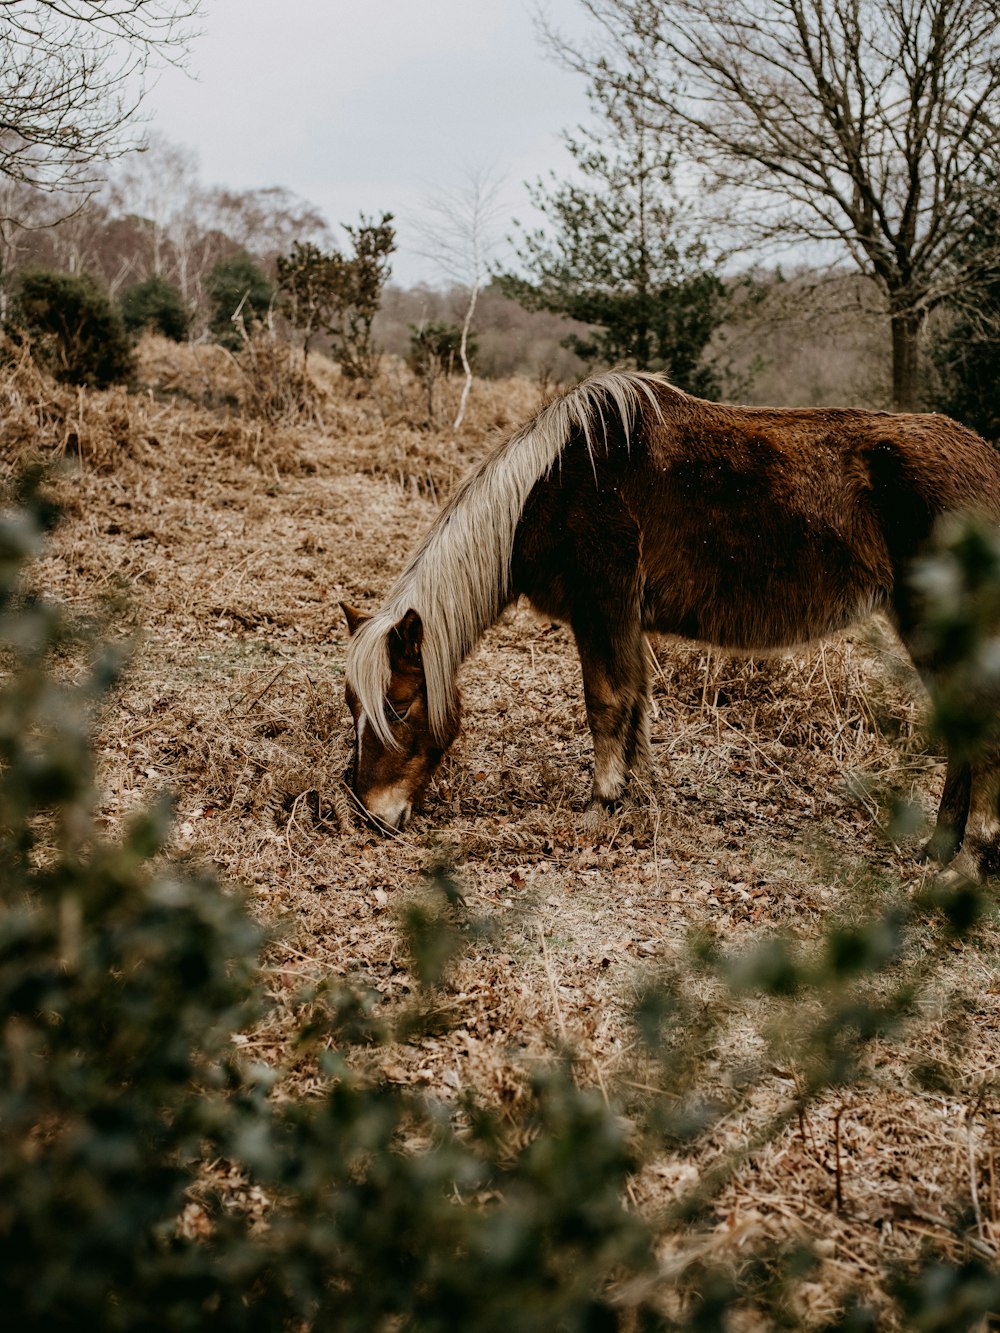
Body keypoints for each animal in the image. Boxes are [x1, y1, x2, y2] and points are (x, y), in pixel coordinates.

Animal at [344, 375, 1000, 874]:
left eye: (398, 706)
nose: (369, 812)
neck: (546, 489)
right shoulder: (624, 620)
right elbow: (635, 704)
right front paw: (635, 796)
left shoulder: (602, 606)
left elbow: (606, 701)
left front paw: (601, 803)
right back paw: (940, 847)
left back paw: (966, 858)